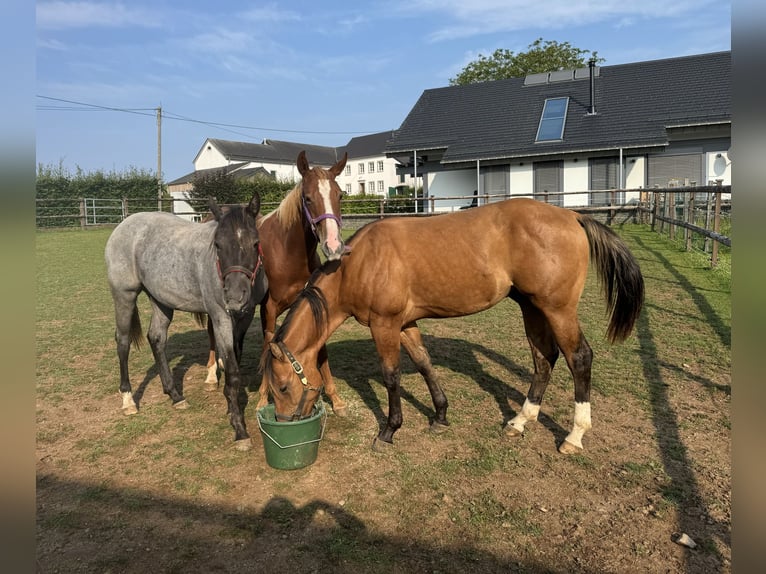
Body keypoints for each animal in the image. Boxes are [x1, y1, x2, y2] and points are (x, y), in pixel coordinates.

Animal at [105, 196, 268, 452]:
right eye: (218, 245)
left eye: (255, 243)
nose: (234, 297)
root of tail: (124, 224)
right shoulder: (221, 317)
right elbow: (232, 371)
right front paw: (239, 429)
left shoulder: (245, 316)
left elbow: (235, 362)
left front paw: (230, 407)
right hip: (124, 296)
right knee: (122, 343)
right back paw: (128, 400)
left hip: (161, 301)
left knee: (156, 338)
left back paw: (174, 395)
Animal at [202, 151, 350, 416]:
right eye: (308, 198)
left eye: (339, 195)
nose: (333, 246)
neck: (288, 252)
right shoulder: (268, 308)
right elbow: (267, 346)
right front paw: (263, 397)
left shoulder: (312, 303)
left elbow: (320, 349)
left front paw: (336, 398)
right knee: (211, 329)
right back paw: (211, 374)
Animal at [260, 200, 644, 456]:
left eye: (282, 386)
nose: (285, 420)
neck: (360, 264)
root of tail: (573, 216)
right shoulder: (405, 324)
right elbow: (424, 364)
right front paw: (440, 415)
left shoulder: (385, 326)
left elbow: (391, 376)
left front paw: (389, 431)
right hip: (533, 308)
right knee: (544, 359)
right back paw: (520, 420)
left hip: (557, 309)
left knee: (578, 358)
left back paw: (574, 436)